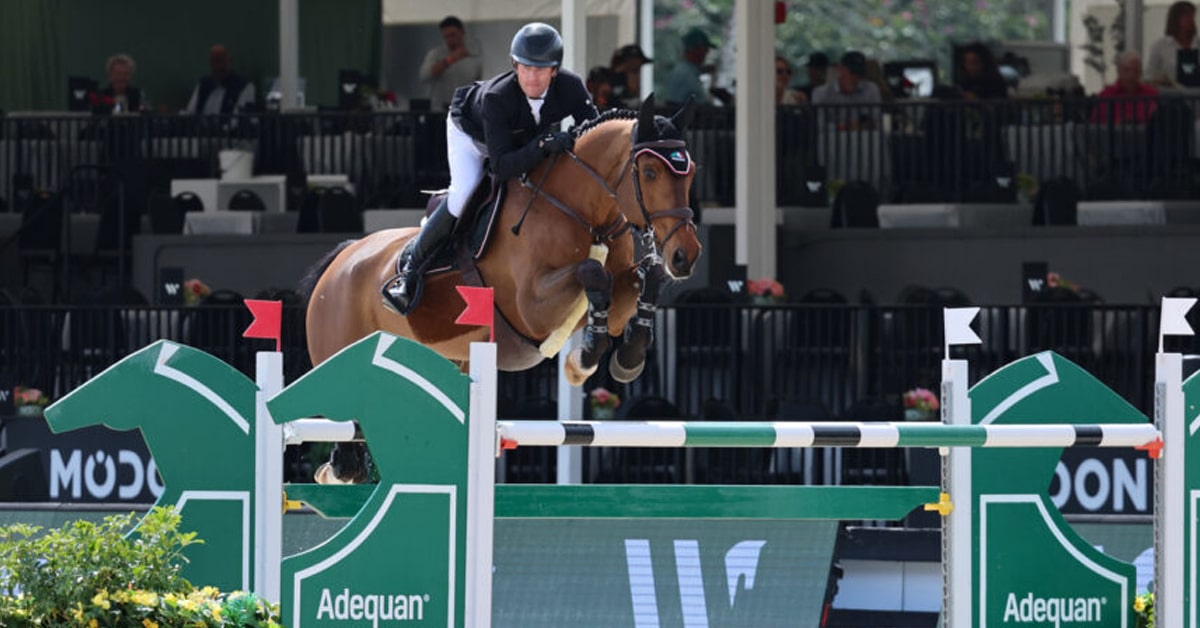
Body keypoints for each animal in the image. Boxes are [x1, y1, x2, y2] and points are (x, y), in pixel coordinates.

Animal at [302, 96, 702, 391]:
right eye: (649, 173)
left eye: (691, 171)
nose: (685, 255)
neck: (585, 215)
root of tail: (341, 259)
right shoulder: (532, 308)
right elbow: (592, 271)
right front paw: (584, 358)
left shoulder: (617, 295)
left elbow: (643, 281)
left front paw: (627, 357)